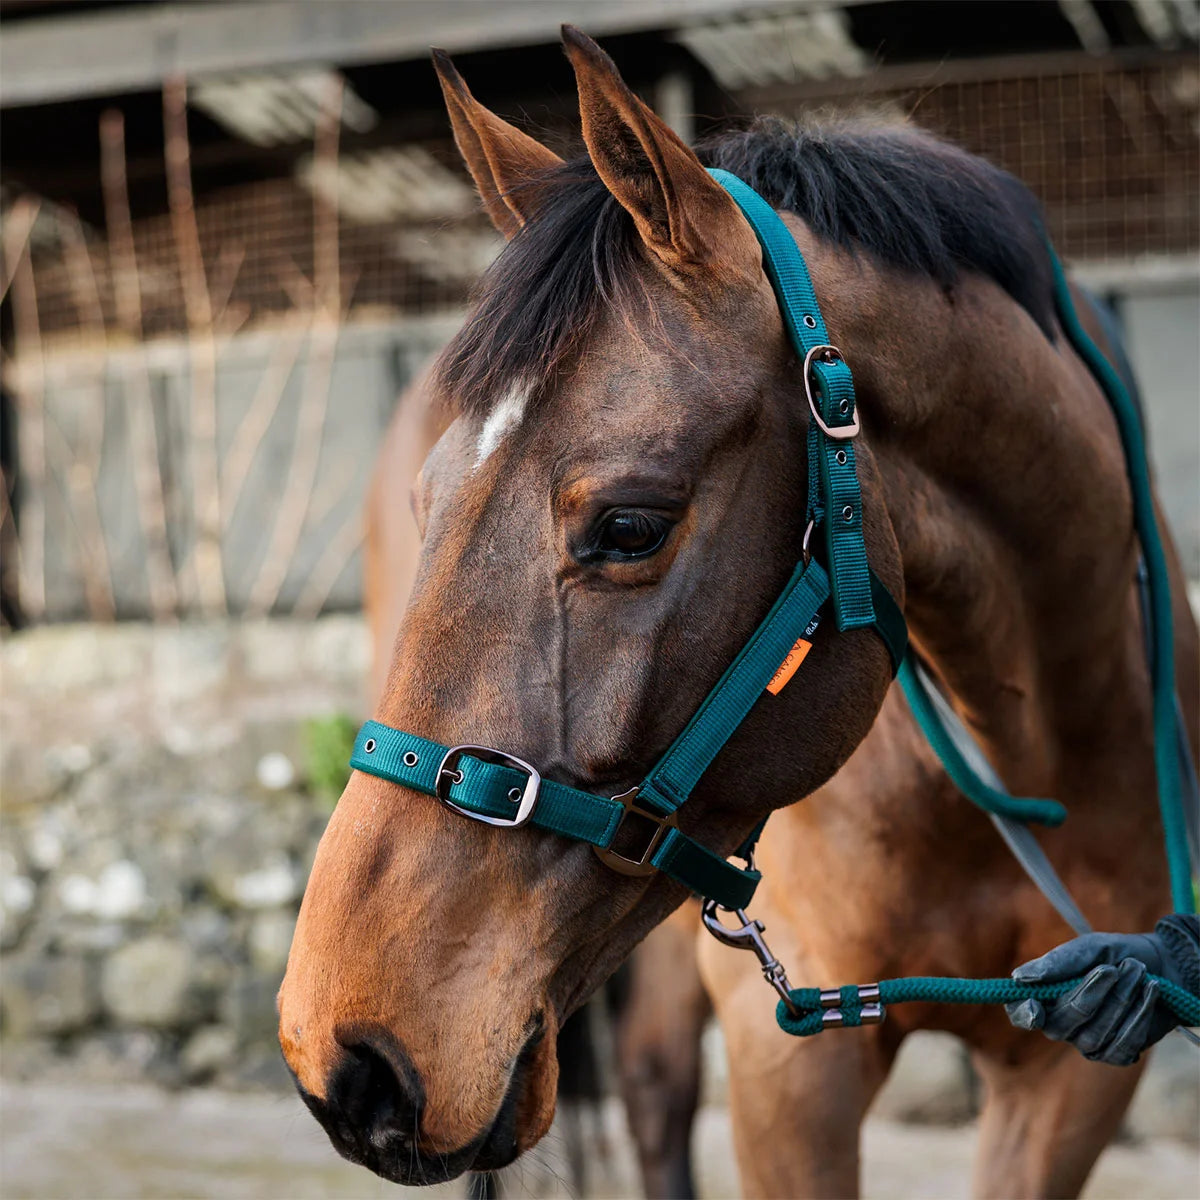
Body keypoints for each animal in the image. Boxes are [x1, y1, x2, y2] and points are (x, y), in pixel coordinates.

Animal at [278, 27, 1198, 1197]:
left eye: (630, 526)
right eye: (424, 500)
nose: (342, 1046)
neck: (1016, 757)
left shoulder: (1075, 1072)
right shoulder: (788, 1068)